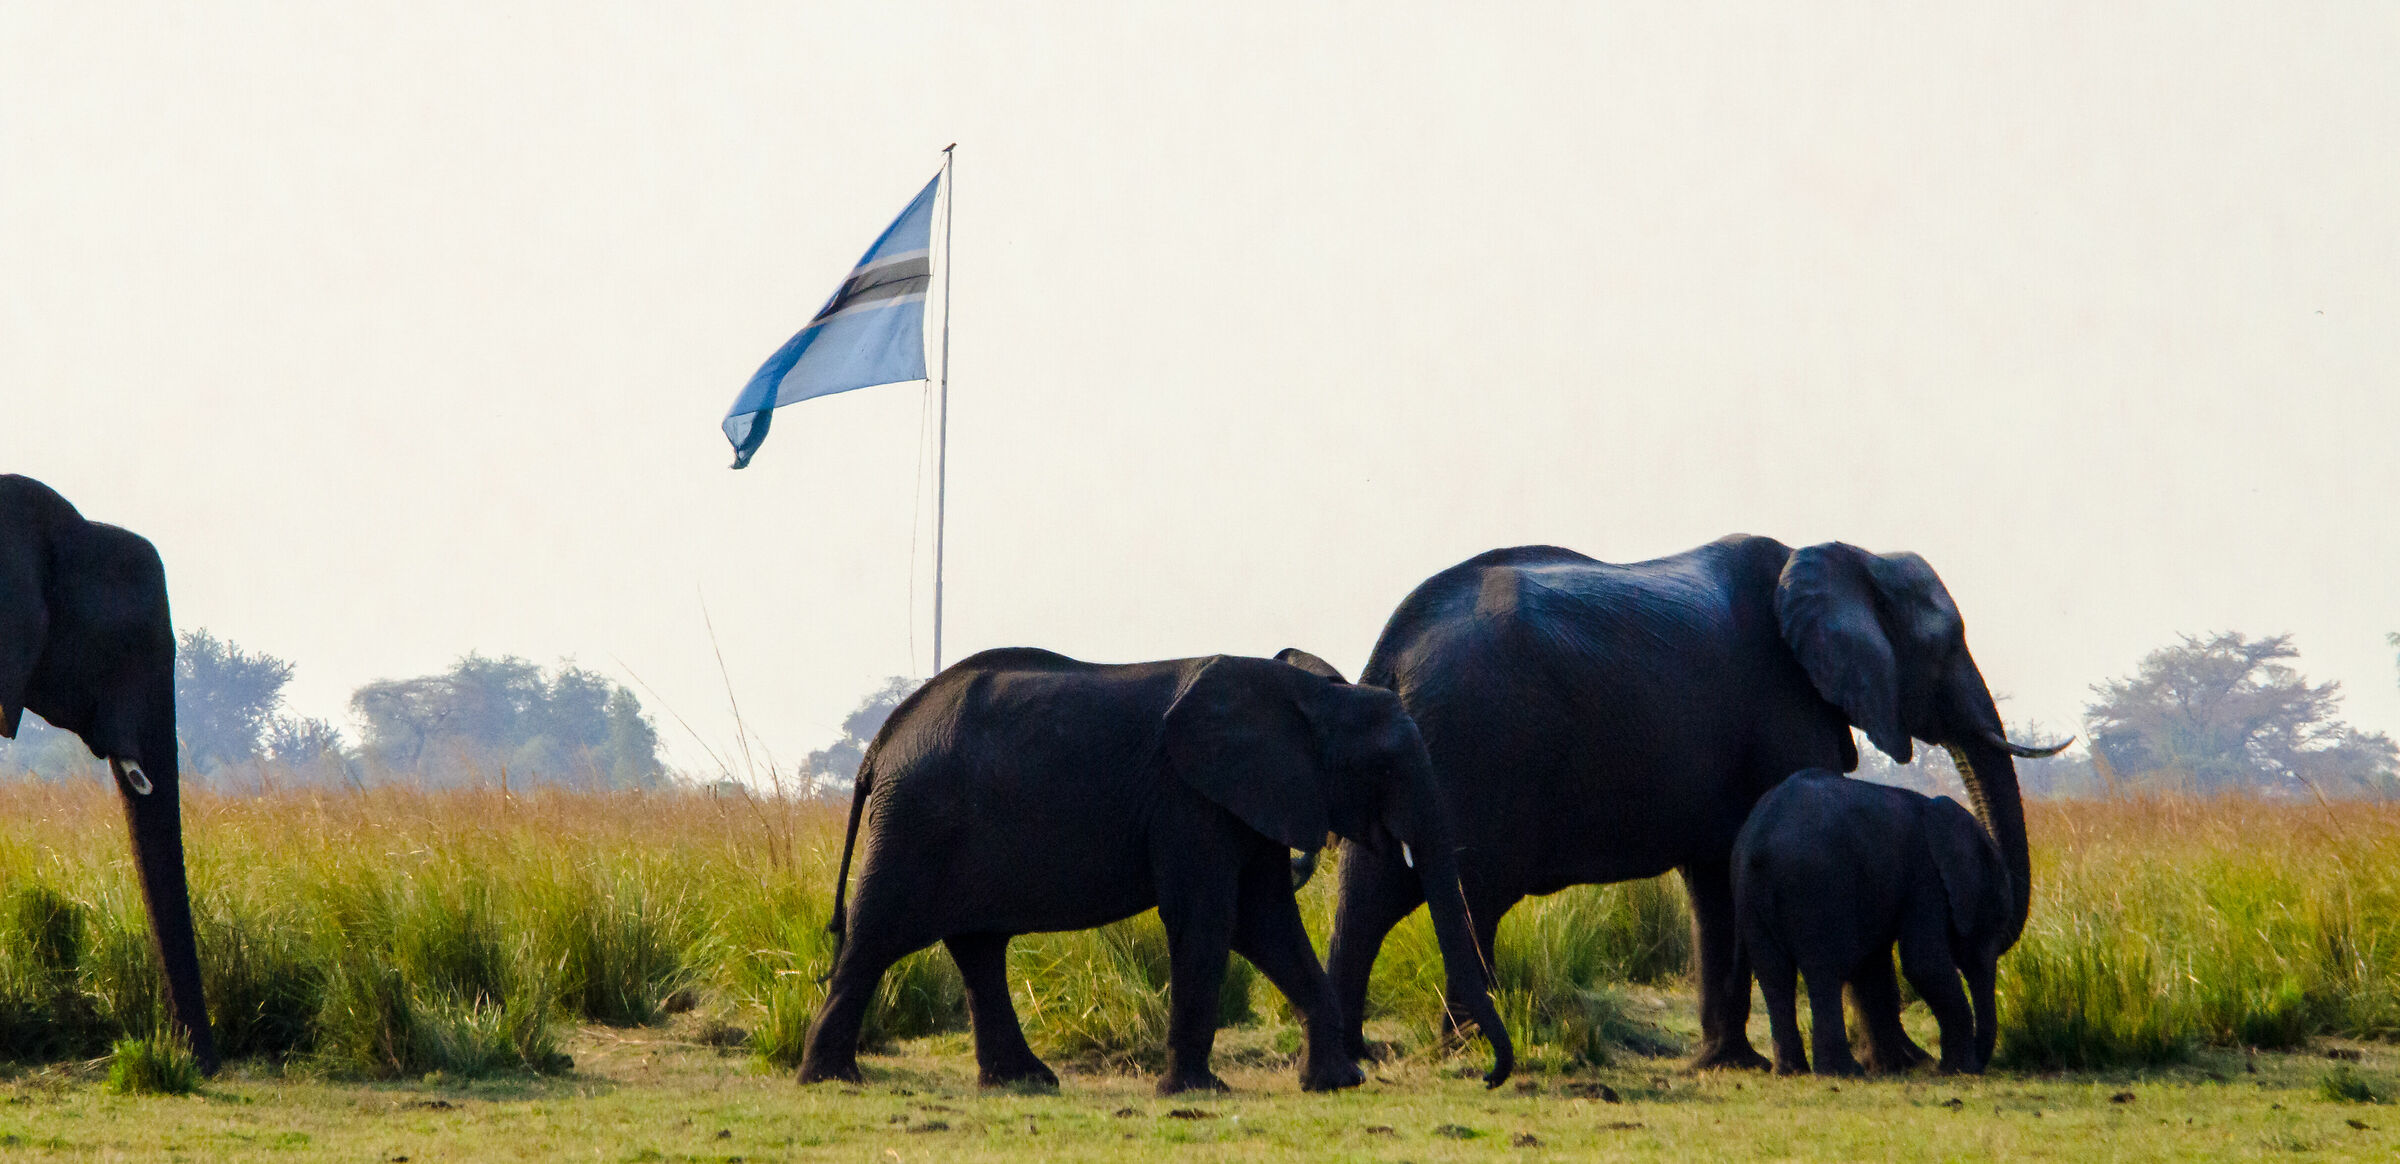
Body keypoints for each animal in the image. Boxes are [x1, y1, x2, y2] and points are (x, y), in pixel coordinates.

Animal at [799, 647, 1512, 1094]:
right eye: (1386, 768)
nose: (1487, 1076)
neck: (1312, 697)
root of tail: (877, 747)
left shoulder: (1249, 800)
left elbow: (1266, 924)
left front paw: (1336, 1084)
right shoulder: (1191, 799)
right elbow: (1212, 918)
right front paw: (1200, 1091)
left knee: (977, 948)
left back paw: (1025, 1082)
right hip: (913, 823)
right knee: (876, 938)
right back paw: (831, 1080)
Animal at [1733, 768, 2011, 1076]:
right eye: (1998, 917)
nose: (1982, 1061)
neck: (1940, 810)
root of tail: (1761, 843)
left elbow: (1875, 963)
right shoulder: (1925, 877)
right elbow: (1924, 964)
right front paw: (1959, 1069)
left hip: (1748, 891)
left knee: (1774, 975)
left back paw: (1791, 1071)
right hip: (1816, 885)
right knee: (1823, 970)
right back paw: (1843, 1071)